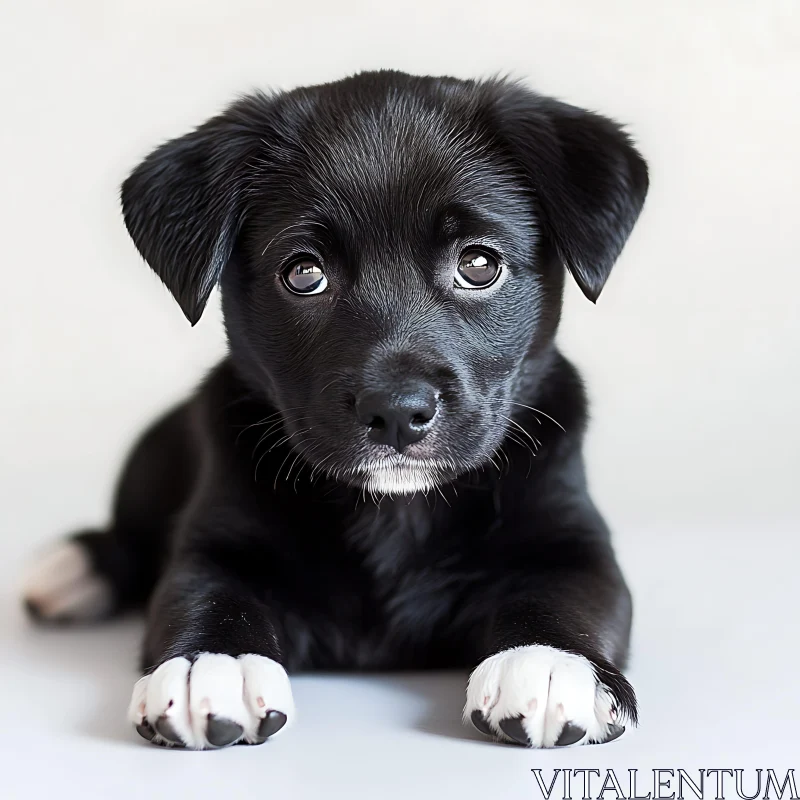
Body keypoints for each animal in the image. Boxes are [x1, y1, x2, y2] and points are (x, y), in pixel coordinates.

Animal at [21, 70, 648, 752]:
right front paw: (208, 665)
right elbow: (202, 595)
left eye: (480, 264)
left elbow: (567, 595)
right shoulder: (213, 544)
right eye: (304, 274)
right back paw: (72, 569)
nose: (397, 412)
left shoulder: (573, 541)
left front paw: (550, 663)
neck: (395, 512)